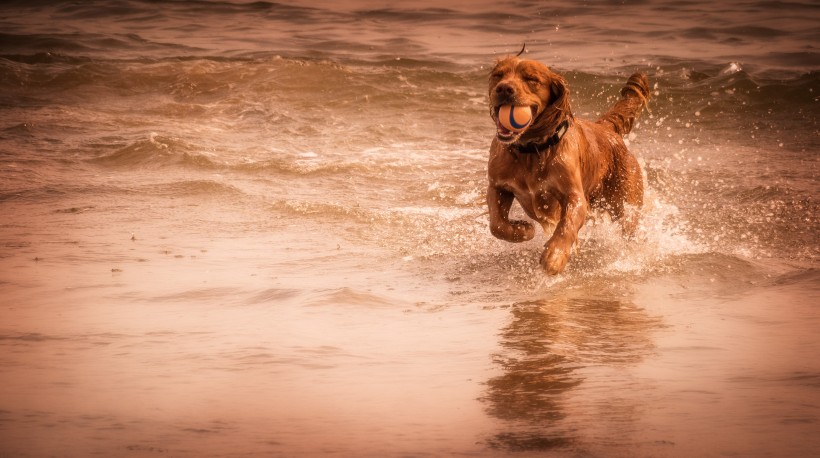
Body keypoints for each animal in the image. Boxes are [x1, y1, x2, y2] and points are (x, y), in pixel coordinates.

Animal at [484, 51, 652, 274]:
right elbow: (496, 224)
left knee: (629, 226)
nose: (504, 89)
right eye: (498, 75)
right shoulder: (497, 186)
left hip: (625, 202)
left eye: (531, 79)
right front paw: (523, 230)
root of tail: (606, 129)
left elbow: (567, 224)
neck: (531, 150)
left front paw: (555, 256)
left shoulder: (574, 195)